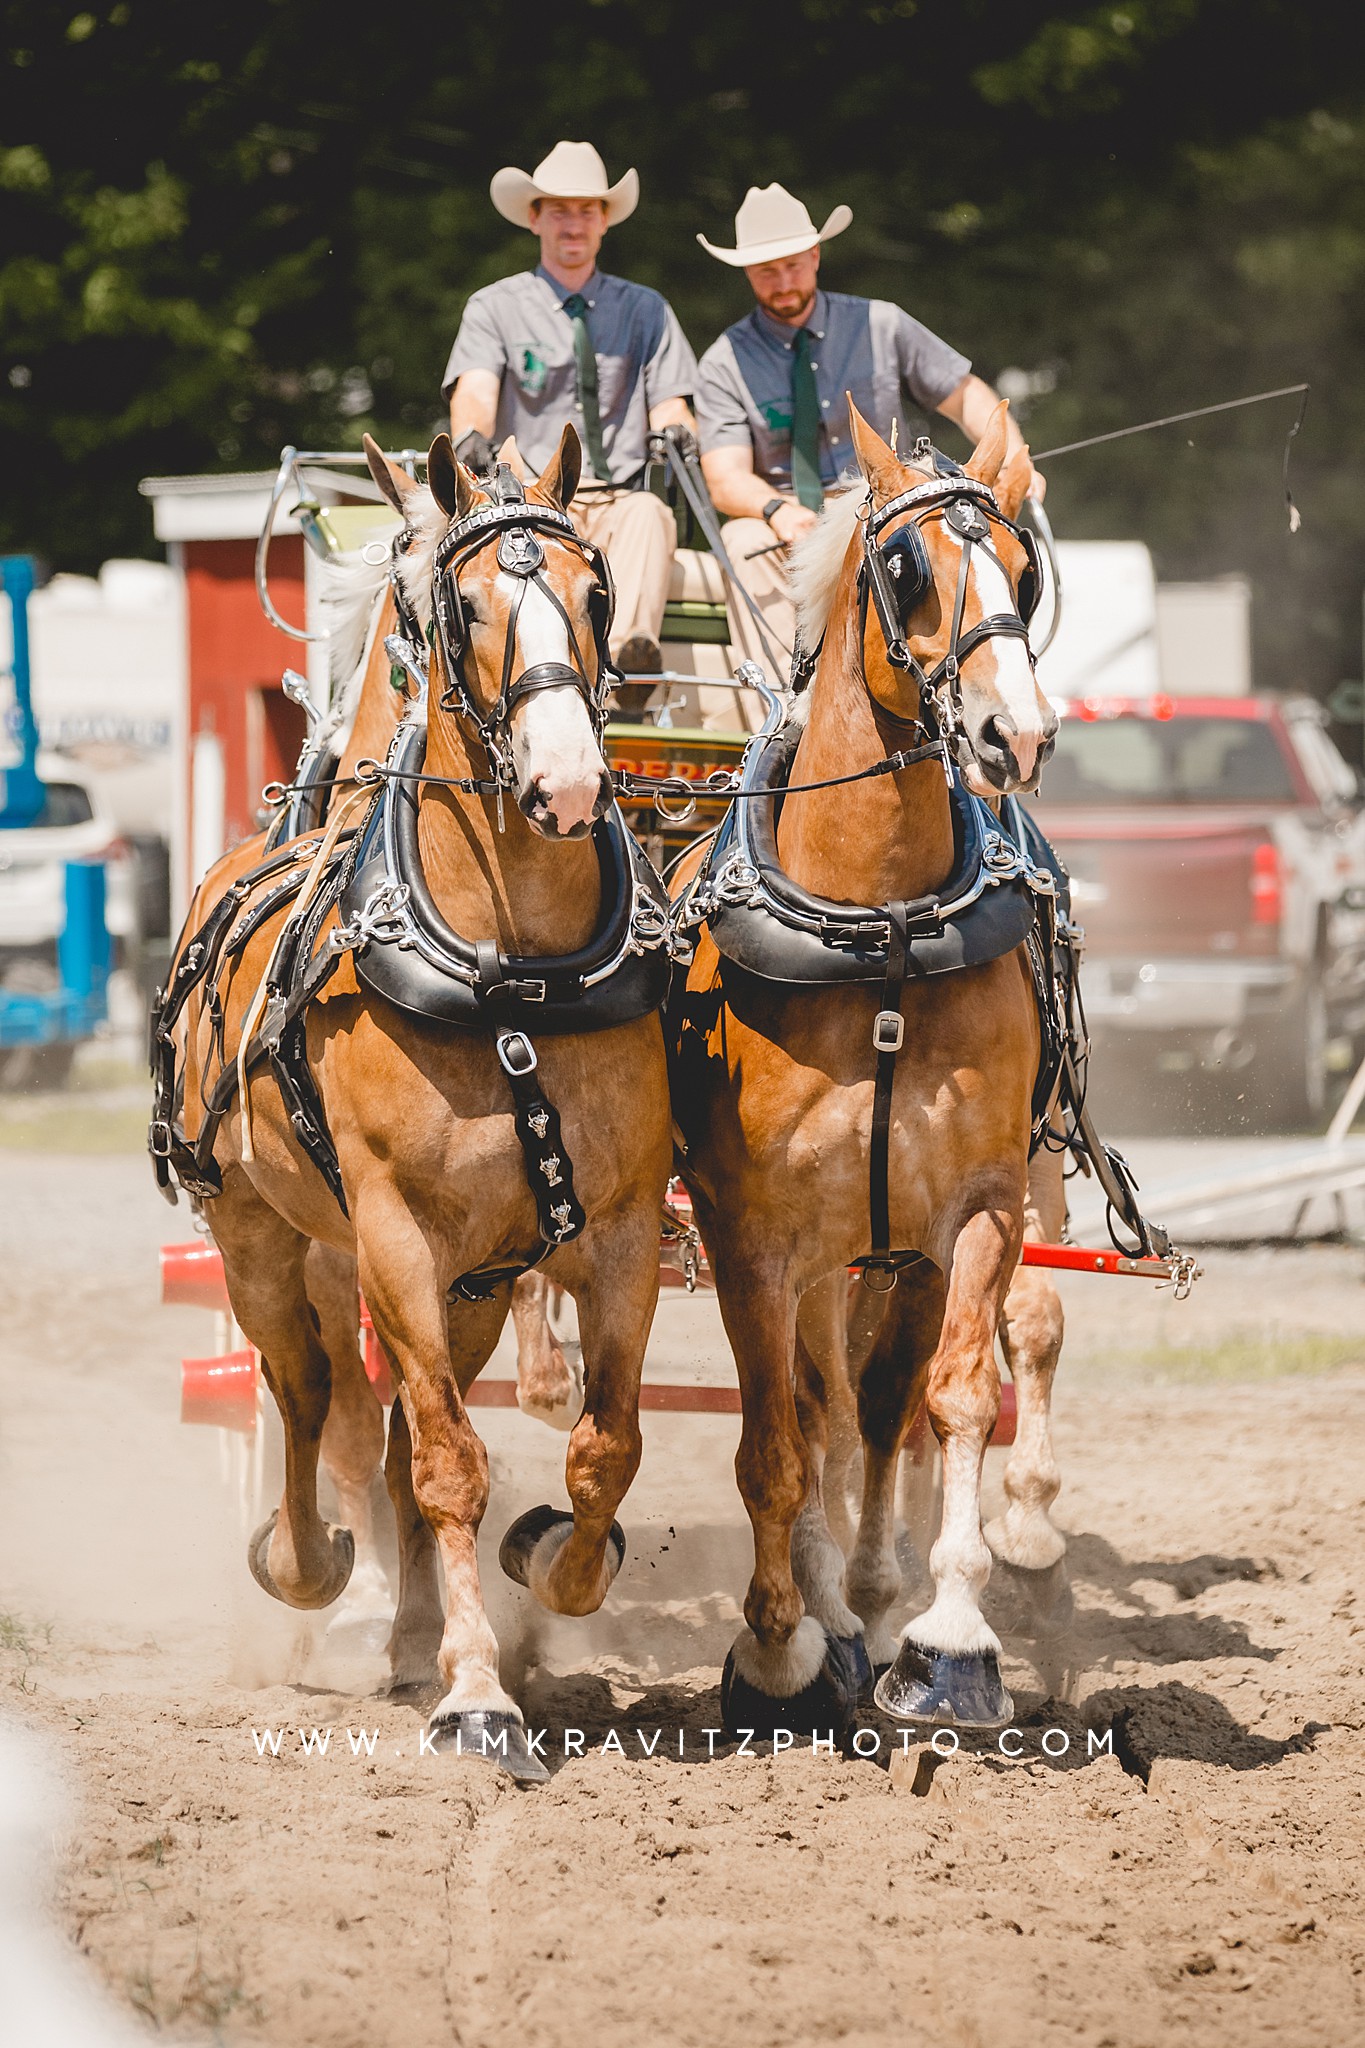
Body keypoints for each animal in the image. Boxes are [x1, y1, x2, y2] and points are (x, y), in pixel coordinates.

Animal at [163, 428, 671, 1777]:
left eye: (596, 593)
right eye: (466, 606)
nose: (567, 783)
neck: (513, 970)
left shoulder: (612, 1233)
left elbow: (603, 1443)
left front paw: (554, 1566)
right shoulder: (394, 1231)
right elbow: (449, 1462)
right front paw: (480, 1695)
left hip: (471, 1287)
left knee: (382, 1432)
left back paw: (404, 1633)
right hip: (264, 1238)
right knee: (307, 1396)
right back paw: (308, 1568)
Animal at [679, 407, 1064, 1736]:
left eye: (1026, 571)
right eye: (906, 572)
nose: (1015, 735)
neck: (881, 930)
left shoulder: (978, 1206)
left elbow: (952, 1396)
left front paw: (948, 1638)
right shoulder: (752, 1232)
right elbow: (776, 1437)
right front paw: (782, 1646)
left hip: (887, 1250)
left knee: (879, 1407)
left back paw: (874, 1595)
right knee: (820, 1413)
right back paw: (829, 1615)